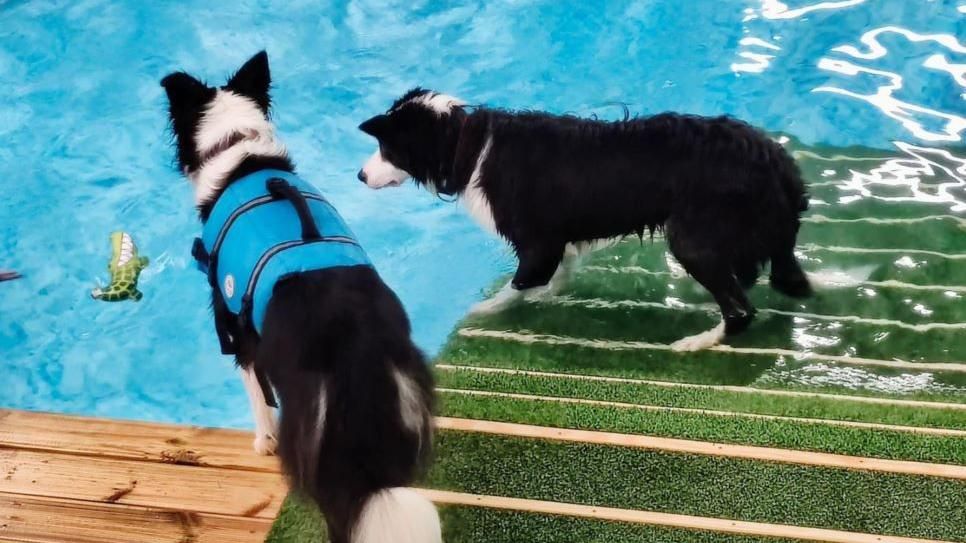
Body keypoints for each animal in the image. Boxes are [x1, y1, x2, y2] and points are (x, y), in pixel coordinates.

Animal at [360, 90, 812, 350]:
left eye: (386, 147)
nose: (361, 176)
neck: (467, 145)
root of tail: (776, 160)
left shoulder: (537, 239)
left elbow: (520, 282)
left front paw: (485, 309)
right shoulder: (557, 237)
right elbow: (554, 274)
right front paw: (546, 294)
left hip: (693, 237)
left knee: (741, 309)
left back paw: (698, 341)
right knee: (748, 276)